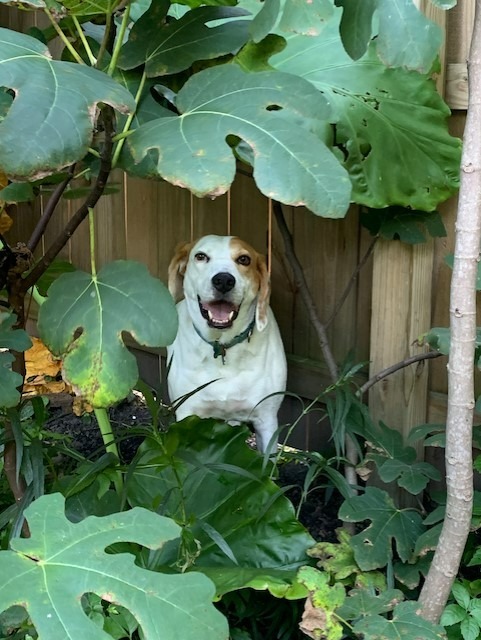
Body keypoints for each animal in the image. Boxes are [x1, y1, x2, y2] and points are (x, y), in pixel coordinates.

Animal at [167, 232, 286, 452]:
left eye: (244, 259)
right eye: (201, 256)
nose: (223, 280)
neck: (222, 346)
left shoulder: (266, 420)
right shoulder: (187, 415)